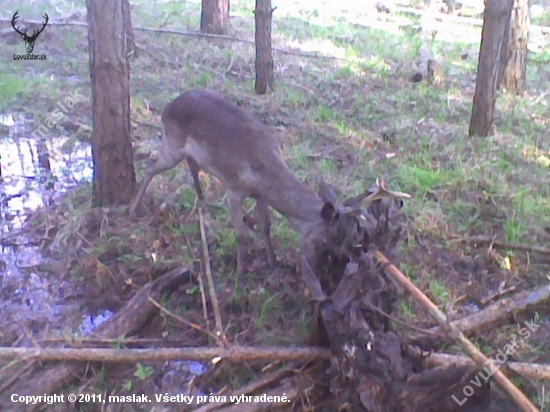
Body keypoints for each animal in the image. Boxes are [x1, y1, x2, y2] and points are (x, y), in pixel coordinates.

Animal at [131, 90, 330, 276]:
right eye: (324, 240)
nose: (320, 270)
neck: (263, 176)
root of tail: (167, 107)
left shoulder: (261, 197)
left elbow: (266, 227)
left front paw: (273, 263)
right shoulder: (233, 190)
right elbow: (241, 235)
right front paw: (240, 272)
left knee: (191, 164)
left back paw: (202, 200)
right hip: (172, 144)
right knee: (150, 167)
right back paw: (134, 210)